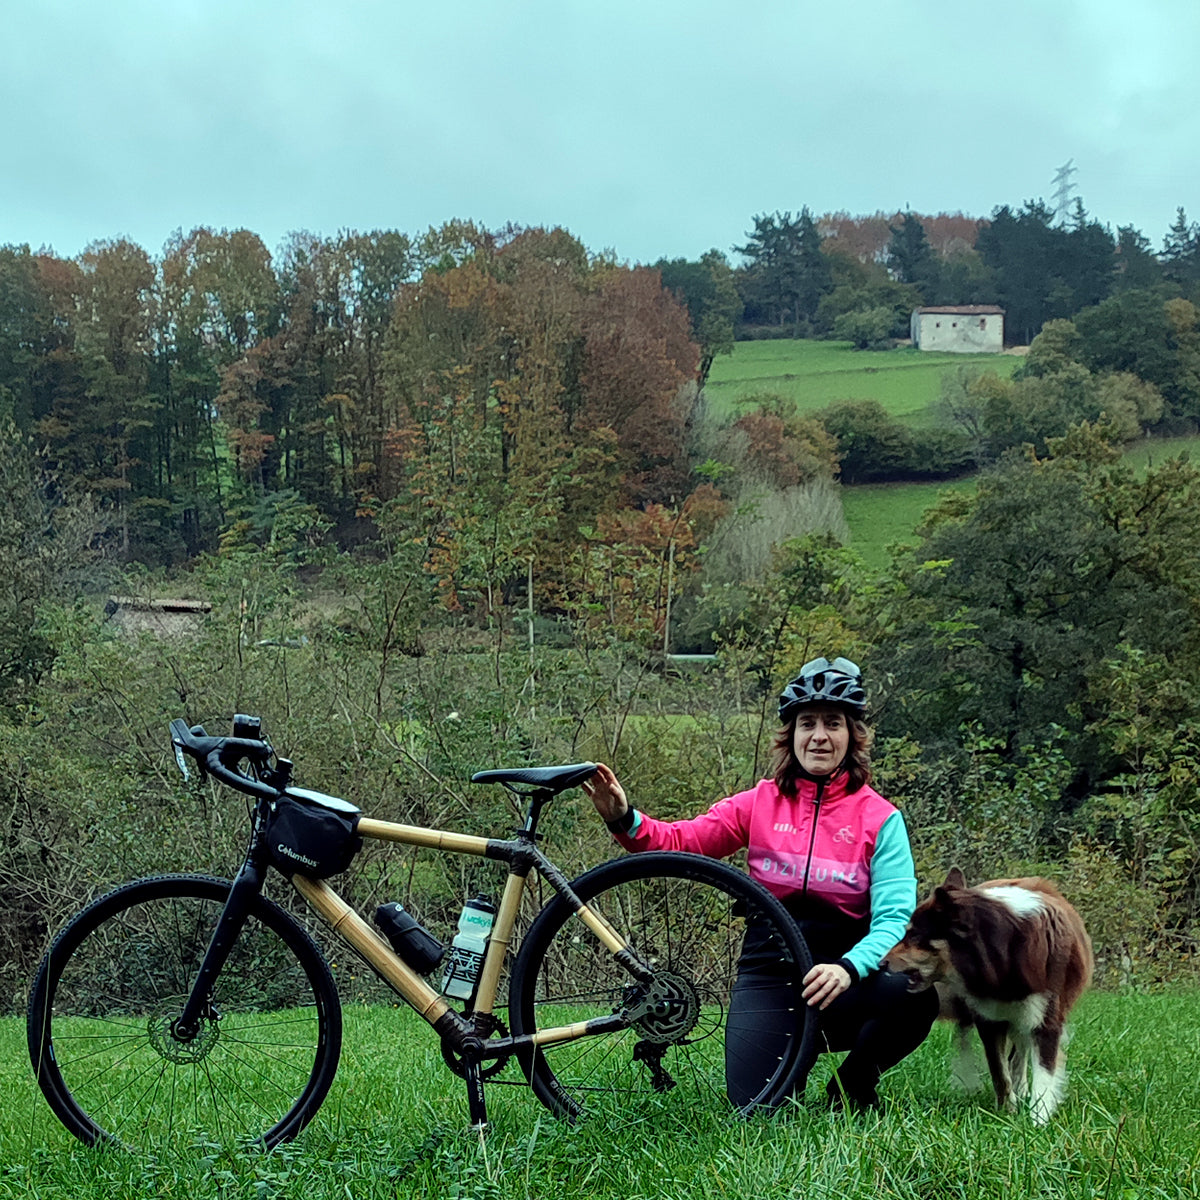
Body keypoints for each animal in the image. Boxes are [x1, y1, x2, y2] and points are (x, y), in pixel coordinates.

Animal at [888, 868, 1094, 1118]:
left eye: (914, 936)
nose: (881, 963)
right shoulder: (989, 1019)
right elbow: (999, 1072)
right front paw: (1007, 1112)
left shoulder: (1047, 1019)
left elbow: (1043, 1076)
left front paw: (1038, 1119)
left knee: (1020, 1054)